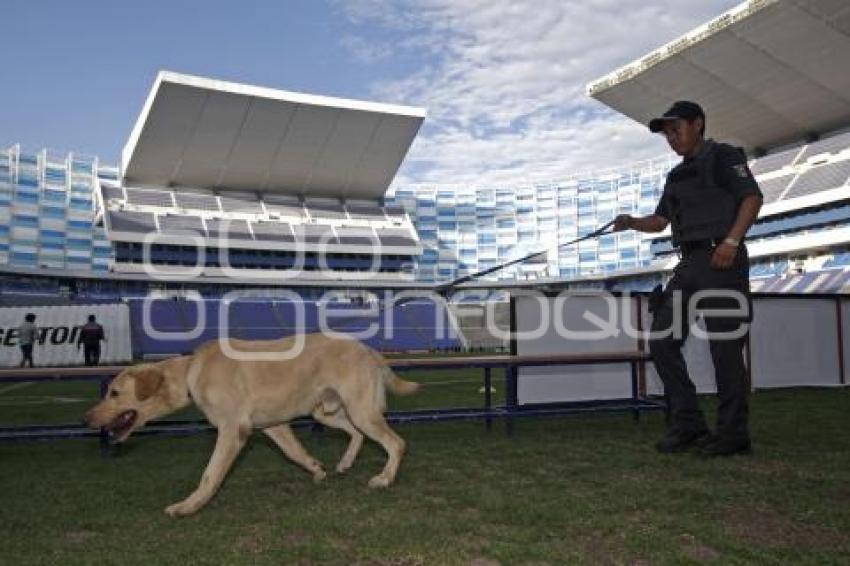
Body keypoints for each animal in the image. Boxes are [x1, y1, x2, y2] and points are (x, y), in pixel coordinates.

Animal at [84, 336, 420, 520]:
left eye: (114, 393)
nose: (86, 419)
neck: (191, 372)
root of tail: (367, 349)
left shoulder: (233, 430)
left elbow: (209, 475)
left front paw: (188, 506)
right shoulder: (273, 426)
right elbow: (295, 452)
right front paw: (315, 469)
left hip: (360, 409)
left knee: (396, 443)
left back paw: (384, 478)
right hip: (329, 411)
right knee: (356, 433)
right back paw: (346, 462)